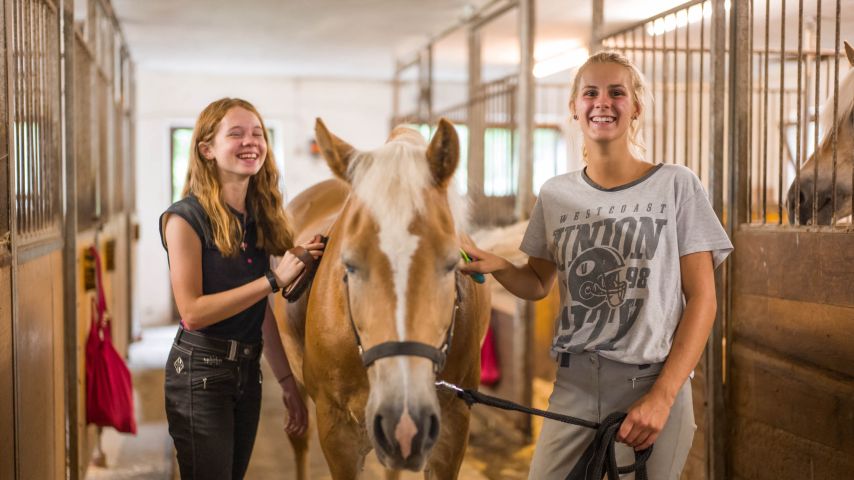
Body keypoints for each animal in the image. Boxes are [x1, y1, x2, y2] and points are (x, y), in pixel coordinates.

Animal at [278, 118, 491, 479]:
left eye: (451, 263)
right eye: (349, 264)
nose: (403, 422)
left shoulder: (452, 427)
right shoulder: (336, 431)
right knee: (299, 439)